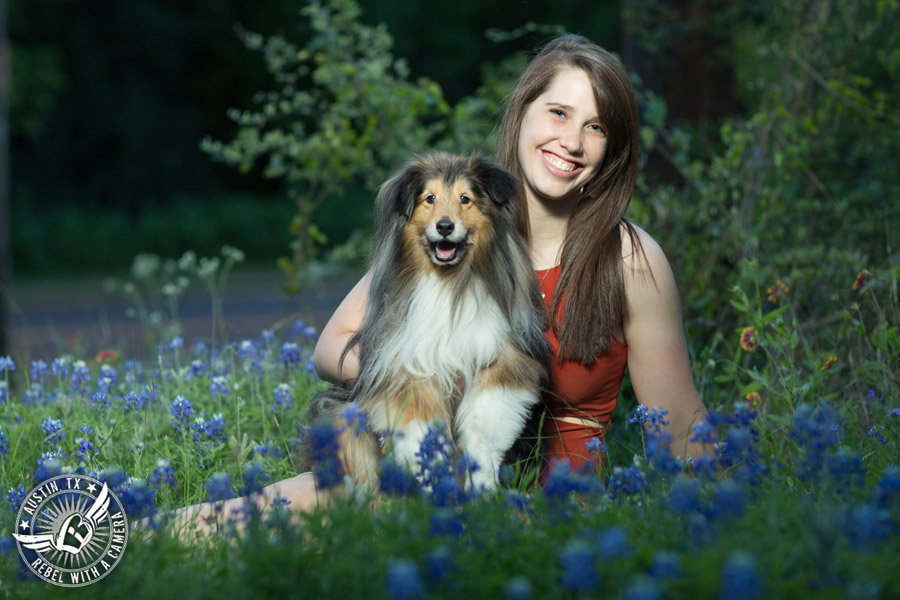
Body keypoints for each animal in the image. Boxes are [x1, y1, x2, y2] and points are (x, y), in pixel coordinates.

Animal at [310, 152, 548, 490]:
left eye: (465, 199)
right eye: (429, 198)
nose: (445, 226)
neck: (447, 283)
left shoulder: (503, 359)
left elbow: (483, 430)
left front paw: (482, 486)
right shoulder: (408, 372)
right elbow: (424, 438)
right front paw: (436, 487)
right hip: (343, 416)